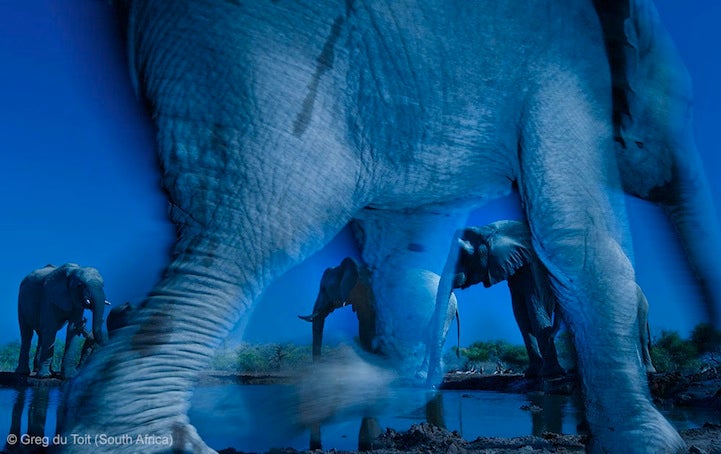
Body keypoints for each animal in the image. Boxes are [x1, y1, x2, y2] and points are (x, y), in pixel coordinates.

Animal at [446, 220, 656, 377]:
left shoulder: (537, 266)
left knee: (638, 334)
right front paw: (533, 374)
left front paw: (551, 374)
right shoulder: (517, 268)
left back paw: (646, 372)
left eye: (463, 254)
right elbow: (520, 312)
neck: (495, 229)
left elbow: (535, 306)